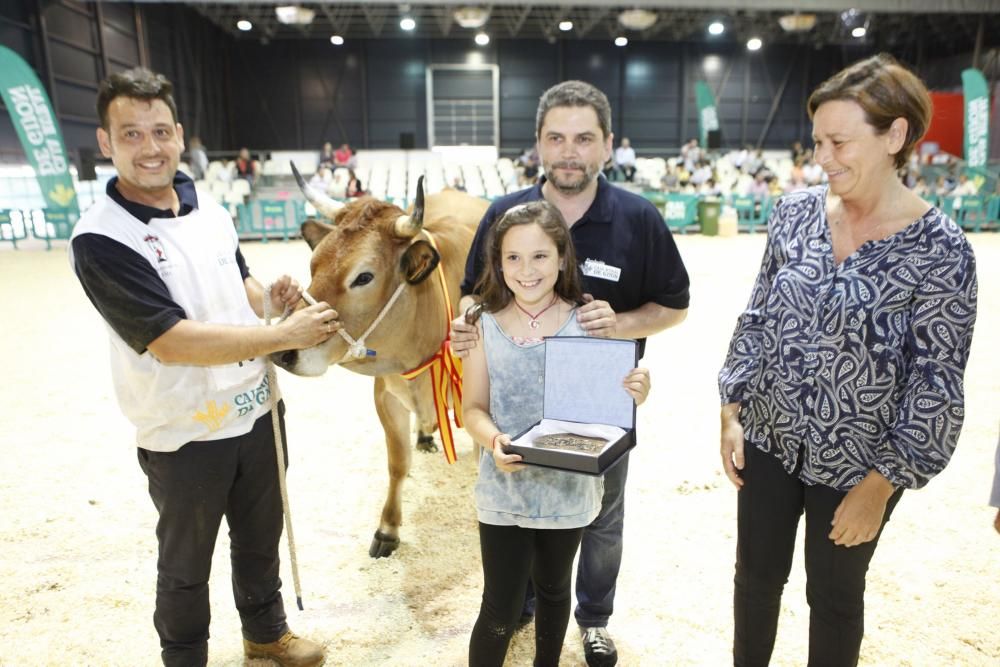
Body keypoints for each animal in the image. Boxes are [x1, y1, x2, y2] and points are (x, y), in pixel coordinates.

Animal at [274, 167, 492, 560]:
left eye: (364, 277)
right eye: (313, 265)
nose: (285, 351)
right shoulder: (385, 395)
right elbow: (397, 463)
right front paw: (388, 528)